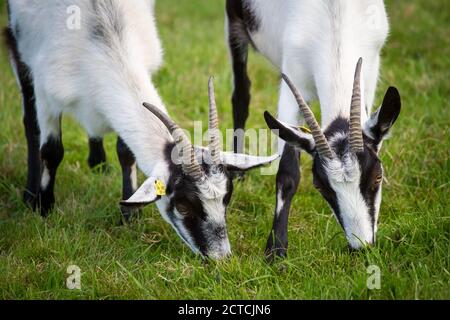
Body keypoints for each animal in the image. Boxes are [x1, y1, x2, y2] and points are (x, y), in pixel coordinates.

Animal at [5, 0, 278, 258]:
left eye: (226, 199)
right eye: (182, 206)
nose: (220, 257)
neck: (102, 37)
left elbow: (126, 152)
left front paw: (129, 216)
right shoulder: (47, 91)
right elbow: (52, 150)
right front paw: (44, 207)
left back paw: (98, 163)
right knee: (30, 122)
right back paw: (29, 194)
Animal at [227, 0, 402, 255]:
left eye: (378, 176)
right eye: (321, 187)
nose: (361, 247)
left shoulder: (371, 66)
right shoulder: (293, 76)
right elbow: (288, 173)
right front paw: (276, 249)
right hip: (234, 23)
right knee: (241, 94)